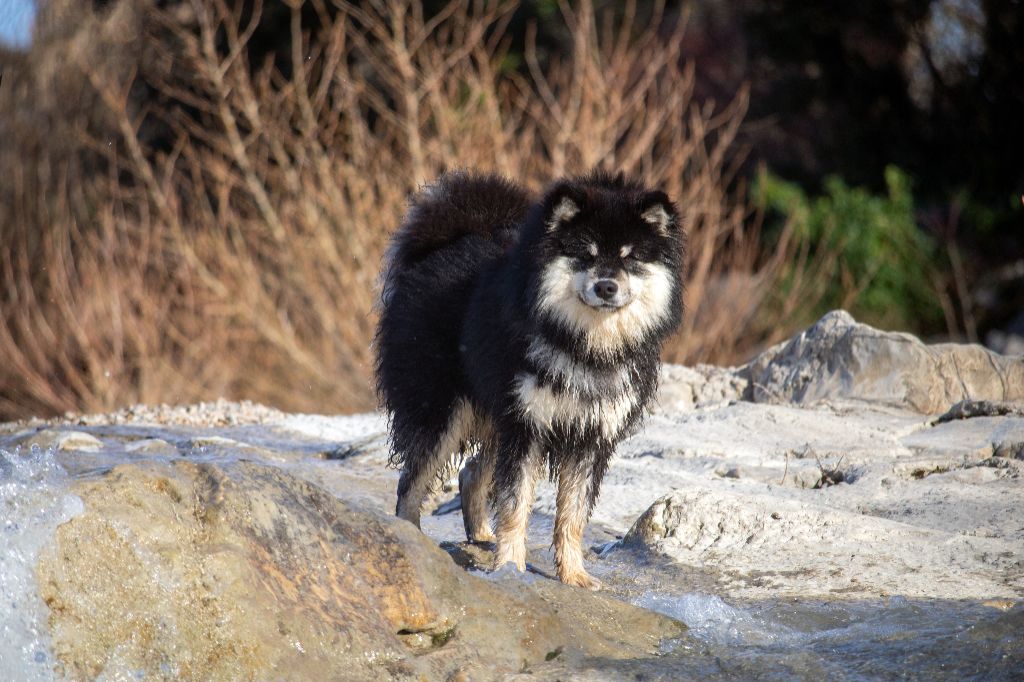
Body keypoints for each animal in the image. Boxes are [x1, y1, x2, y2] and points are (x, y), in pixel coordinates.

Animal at [374, 168, 679, 585]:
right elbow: (515, 504)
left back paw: (481, 535)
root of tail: (442, 244)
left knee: (471, 473)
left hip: (492, 412)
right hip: (442, 411)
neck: (586, 346)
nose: (606, 286)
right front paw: (510, 567)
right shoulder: (528, 426)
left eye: (630, 258)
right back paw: (412, 537)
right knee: (412, 483)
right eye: (586, 254)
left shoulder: (590, 437)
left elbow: (572, 515)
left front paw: (574, 575)